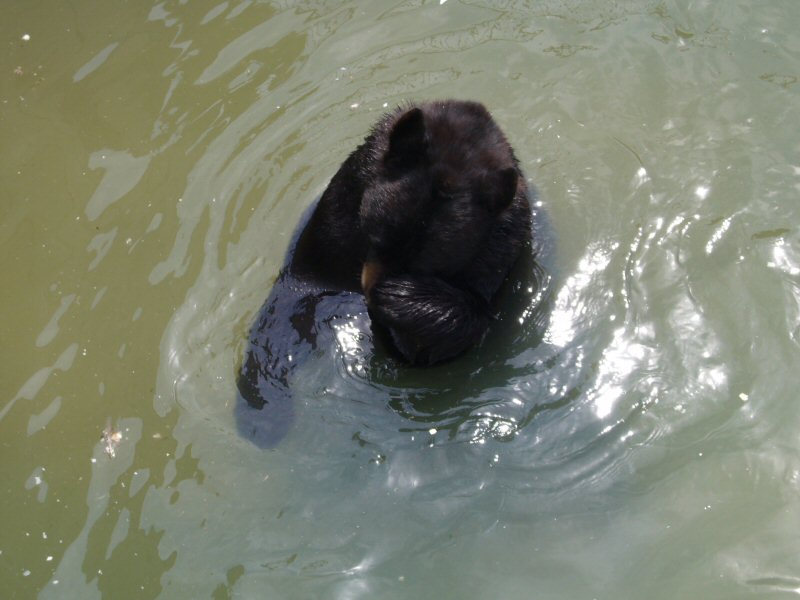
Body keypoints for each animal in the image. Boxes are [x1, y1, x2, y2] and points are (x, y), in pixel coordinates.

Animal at [237, 100, 534, 447]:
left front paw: (397, 297)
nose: (368, 289)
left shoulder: (501, 246)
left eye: (429, 266)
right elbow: (297, 291)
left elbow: (459, 328)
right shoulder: (337, 215)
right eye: (377, 235)